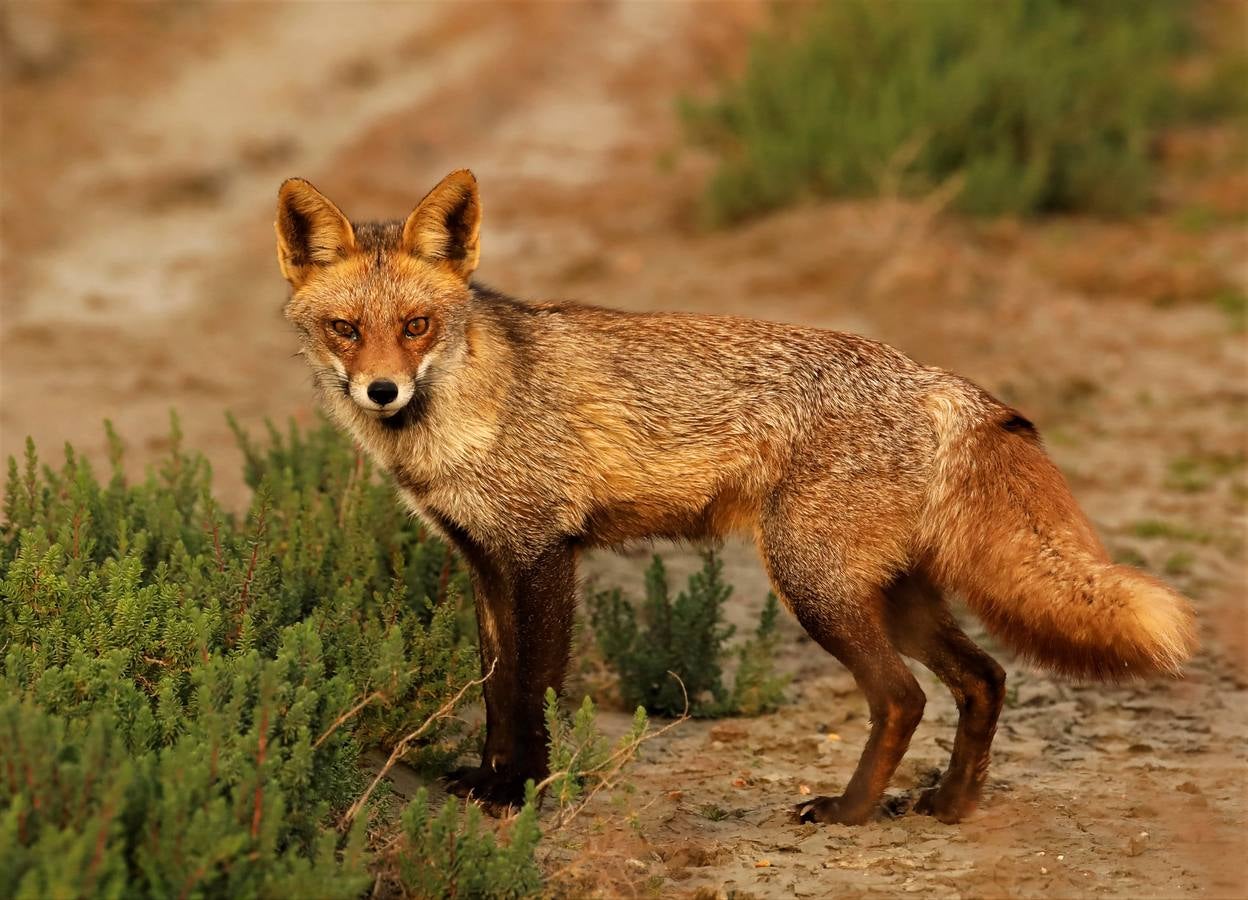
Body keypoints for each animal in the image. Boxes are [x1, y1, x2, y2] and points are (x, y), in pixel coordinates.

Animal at [275, 168, 1198, 823]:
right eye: (346, 330)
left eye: (417, 327)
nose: (383, 392)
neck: (464, 418)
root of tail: (931, 377)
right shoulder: (484, 561)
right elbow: (496, 689)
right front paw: (492, 784)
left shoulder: (543, 554)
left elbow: (532, 691)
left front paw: (524, 796)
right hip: (891, 593)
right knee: (985, 679)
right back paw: (949, 804)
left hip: (814, 584)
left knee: (903, 697)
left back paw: (851, 813)